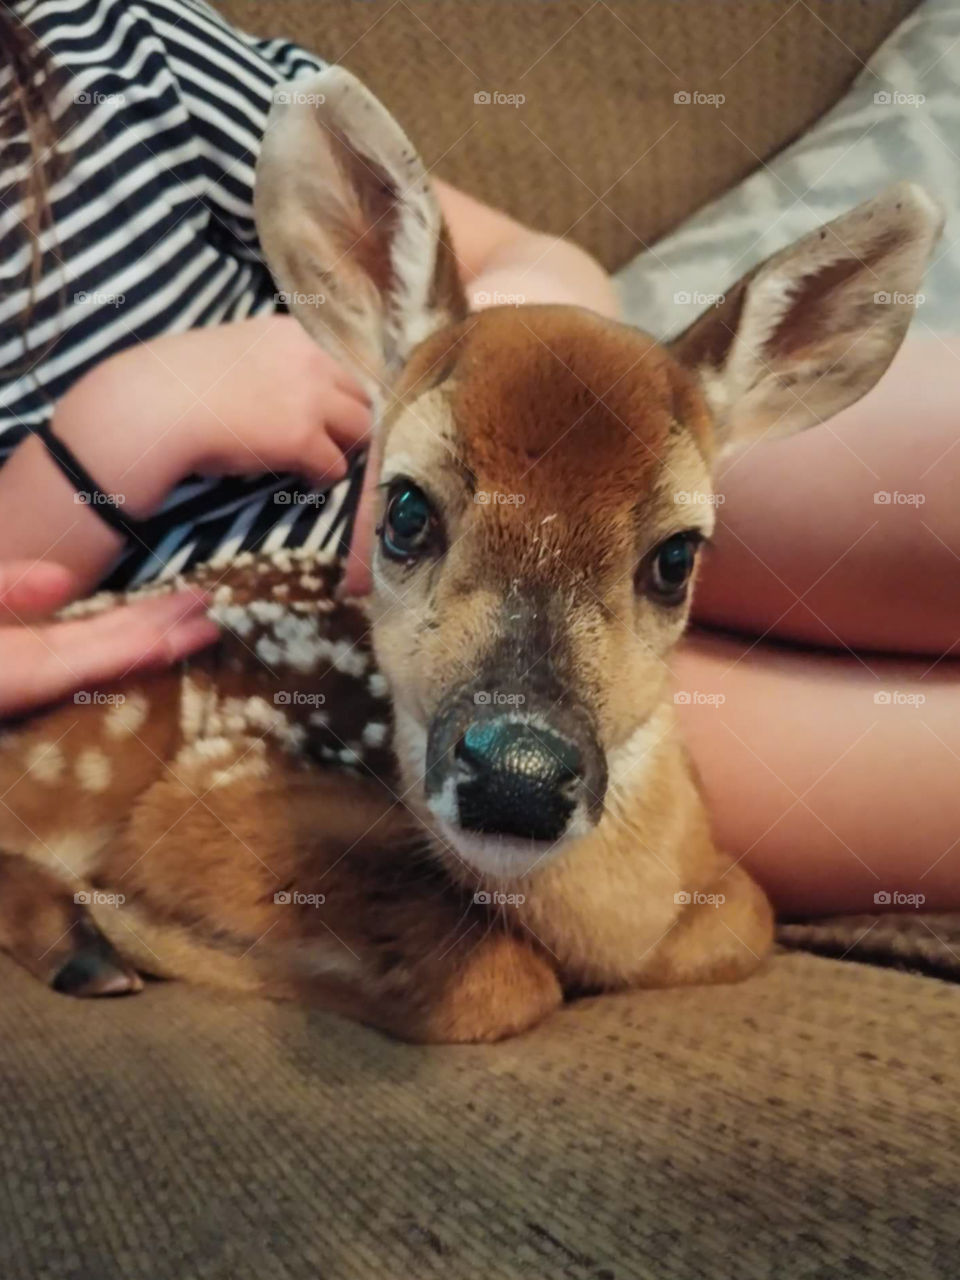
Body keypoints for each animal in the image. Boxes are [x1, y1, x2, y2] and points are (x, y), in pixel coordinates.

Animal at [0, 69, 941, 1042]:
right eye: (406, 511)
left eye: (677, 557)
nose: (517, 777)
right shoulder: (215, 784)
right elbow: (501, 978)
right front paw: (132, 923)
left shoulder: (721, 897)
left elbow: (743, 920)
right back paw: (84, 950)